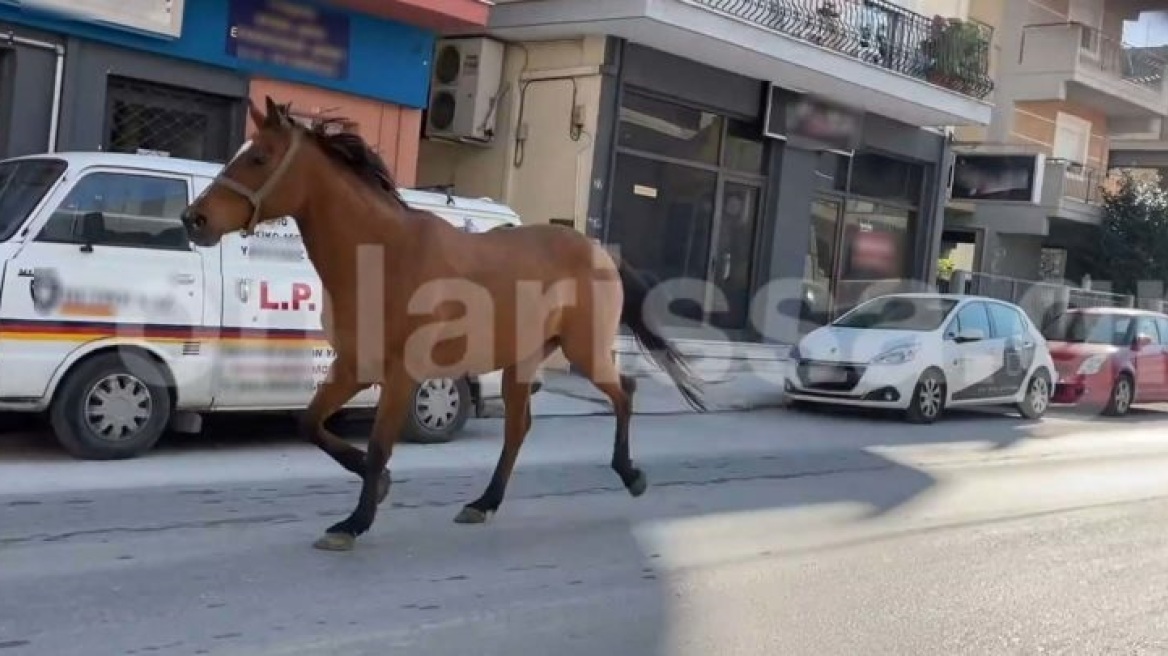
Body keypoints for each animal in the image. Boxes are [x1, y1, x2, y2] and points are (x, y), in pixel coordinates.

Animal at [177, 95, 700, 546]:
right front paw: (378, 486)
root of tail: (600, 251)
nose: (193, 219)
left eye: (259, 157)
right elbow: (311, 424)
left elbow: (381, 444)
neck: (383, 255)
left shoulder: (400, 375)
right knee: (518, 428)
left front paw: (353, 522)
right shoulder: (353, 366)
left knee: (623, 393)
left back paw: (631, 475)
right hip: (522, 361)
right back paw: (483, 503)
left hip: (584, 350)